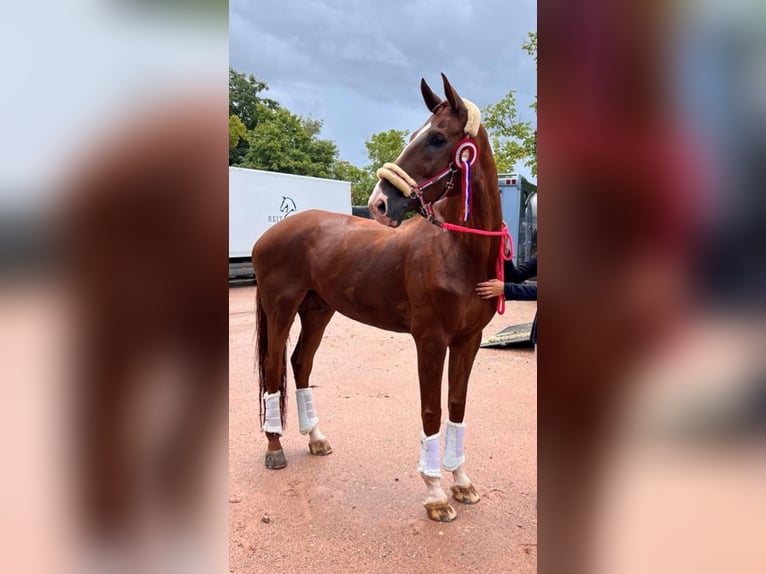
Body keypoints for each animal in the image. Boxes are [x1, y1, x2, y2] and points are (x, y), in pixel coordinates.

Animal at [252, 74, 507, 522]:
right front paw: (436, 496)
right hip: (280, 309)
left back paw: (315, 438)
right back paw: (275, 447)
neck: (457, 251)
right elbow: (431, 409)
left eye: (437, 138)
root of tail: (268, 234)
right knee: (272, 367)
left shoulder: (468, 340)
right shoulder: (430, 340)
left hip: (317, 310)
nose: (380, 203)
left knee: (300, 364)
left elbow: (456, 405)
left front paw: (461, 483)